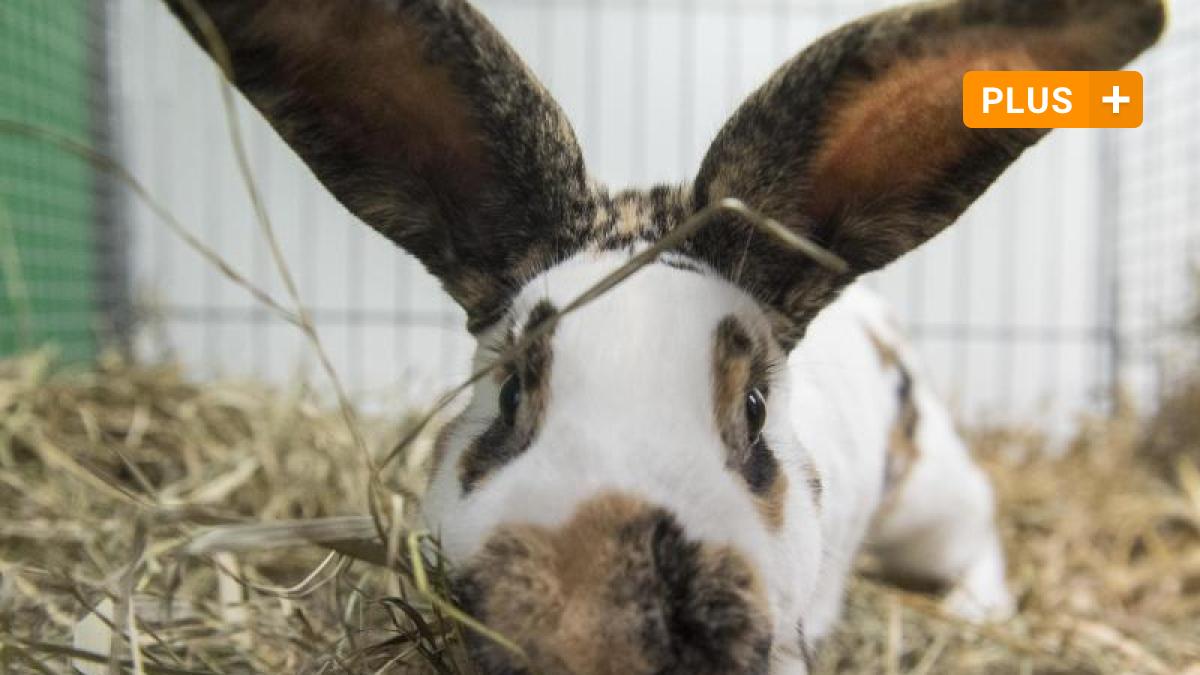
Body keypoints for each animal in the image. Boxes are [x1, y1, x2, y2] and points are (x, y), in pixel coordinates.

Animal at [166, 0, 1161, 667]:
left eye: (754, 410)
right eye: (511, 391)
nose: (595, 628)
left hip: (933, 497)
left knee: (979, 530)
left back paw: (983, 613)